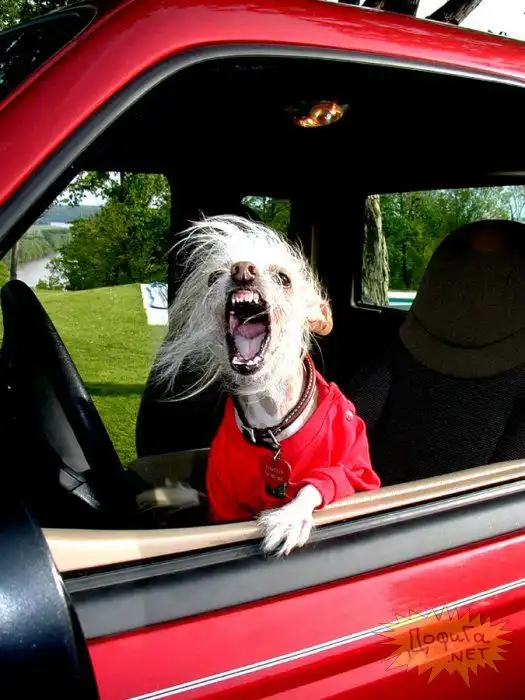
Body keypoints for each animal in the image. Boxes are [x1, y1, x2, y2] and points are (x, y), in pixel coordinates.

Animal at [137, 215, 381, 555]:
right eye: (213, 277)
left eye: (284, 278)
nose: (242, 269)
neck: (271, 420)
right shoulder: (223, 498)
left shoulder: (358, 473)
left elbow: (321, 482)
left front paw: (290, 518)